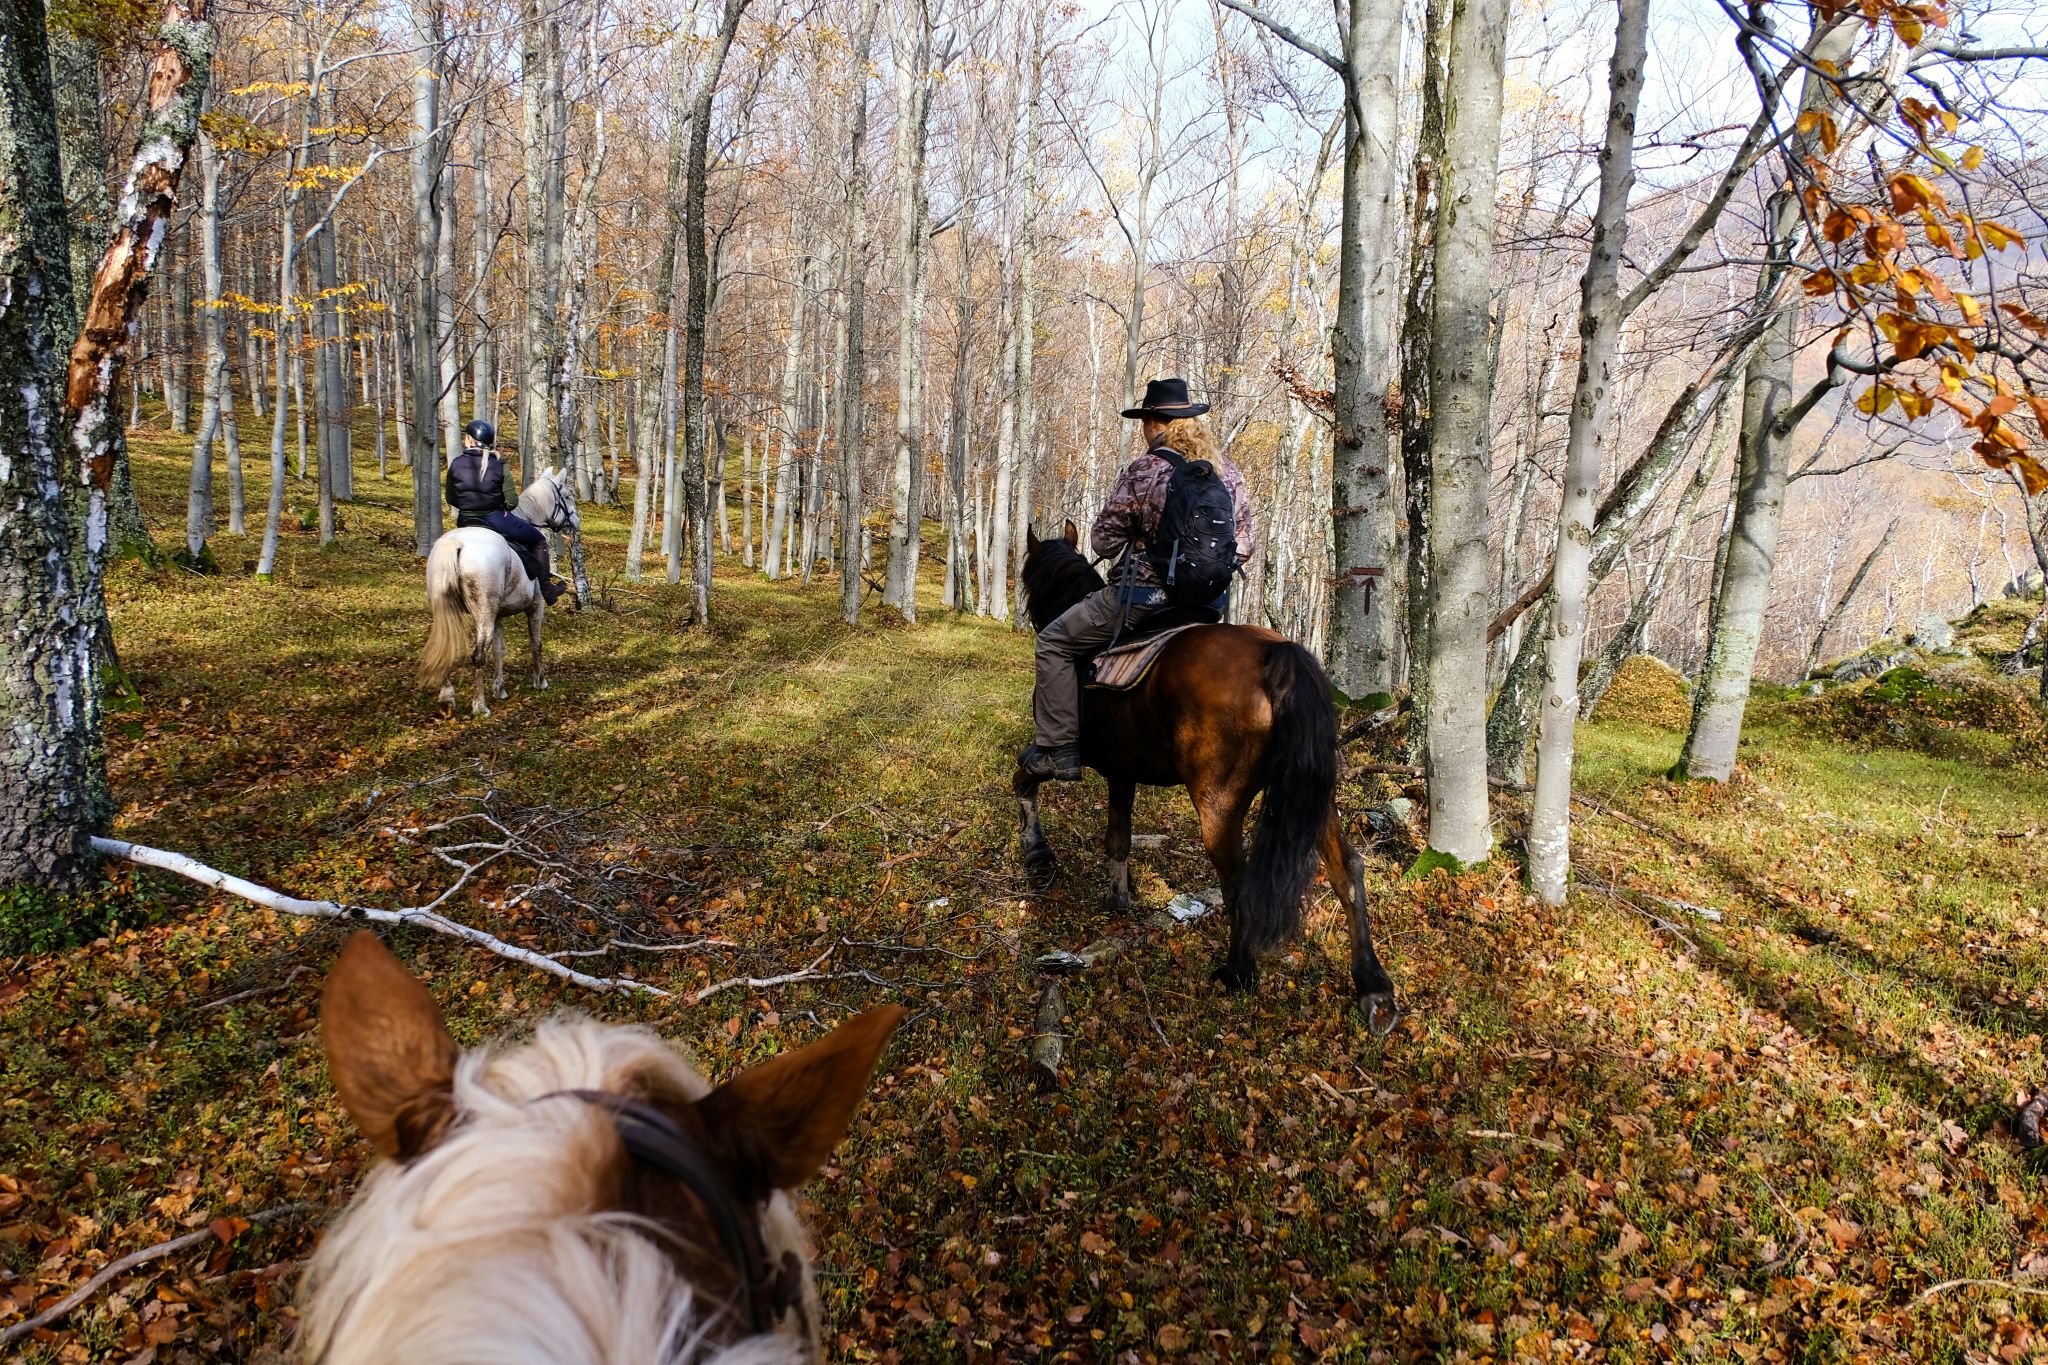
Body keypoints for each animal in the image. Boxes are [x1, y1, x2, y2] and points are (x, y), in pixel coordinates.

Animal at [415, 466, 577, 720]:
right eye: (568, 496)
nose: (576, 523)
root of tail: (455, 544)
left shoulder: (499, 615)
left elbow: (499, 650)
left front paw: (500, 688)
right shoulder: (535, 607)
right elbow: (536, 643)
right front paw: (540, 681)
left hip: (451, 610)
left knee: (449, 647)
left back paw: (447, 699)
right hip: (484, 612)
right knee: (478, 655)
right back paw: (480, 706)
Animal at [1015, 527, 1400, 1035]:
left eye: (1027, 578)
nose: (1028, 619)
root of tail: (1275, 653)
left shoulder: (1061, 753)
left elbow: (1026, 778)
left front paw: (1038, 855)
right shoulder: (1122, 772)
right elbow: (1118, 838)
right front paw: (1119, 896)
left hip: (1218, 803)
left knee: (1237, 881)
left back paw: (1238, 973)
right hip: (1315, 797)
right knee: (1348, 870)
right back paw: (1373, 988)